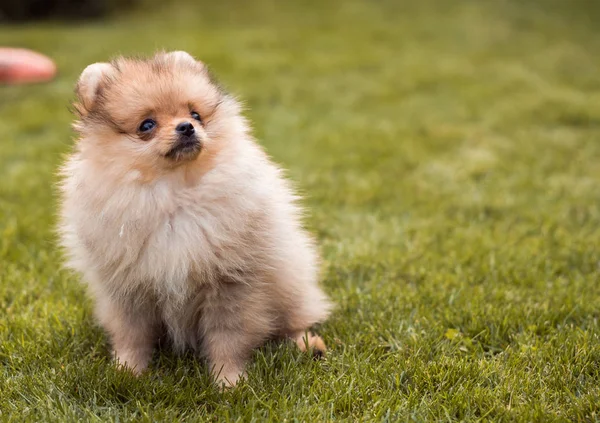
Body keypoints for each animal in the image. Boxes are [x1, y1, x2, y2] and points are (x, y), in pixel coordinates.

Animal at [59, 50, 332, 388]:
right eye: (147, 124)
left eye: (196, 114)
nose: (187, 127)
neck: (174, 194)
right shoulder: (127, 288)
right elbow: (132, 335)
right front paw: (128, 372)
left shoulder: (232, 282)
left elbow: (228, 337)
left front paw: (229, 381)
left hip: (290, 280)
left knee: (294, 320)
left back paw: (306, 344)